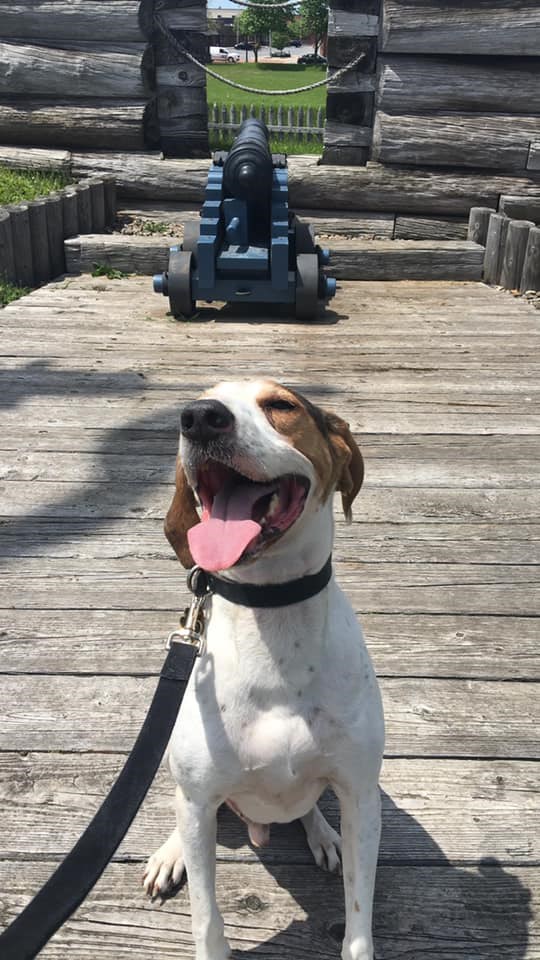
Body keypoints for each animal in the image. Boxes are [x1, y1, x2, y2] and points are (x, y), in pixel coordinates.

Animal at [143, 378, 384, 960]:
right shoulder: (199, 797)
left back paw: (323, 835)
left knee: (310, 805)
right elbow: (206, 919)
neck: (273, 616)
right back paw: (170, 853)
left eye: (281, 405)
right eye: (197, 401)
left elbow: (358, 920)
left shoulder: (362, 795)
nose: (200, 418)